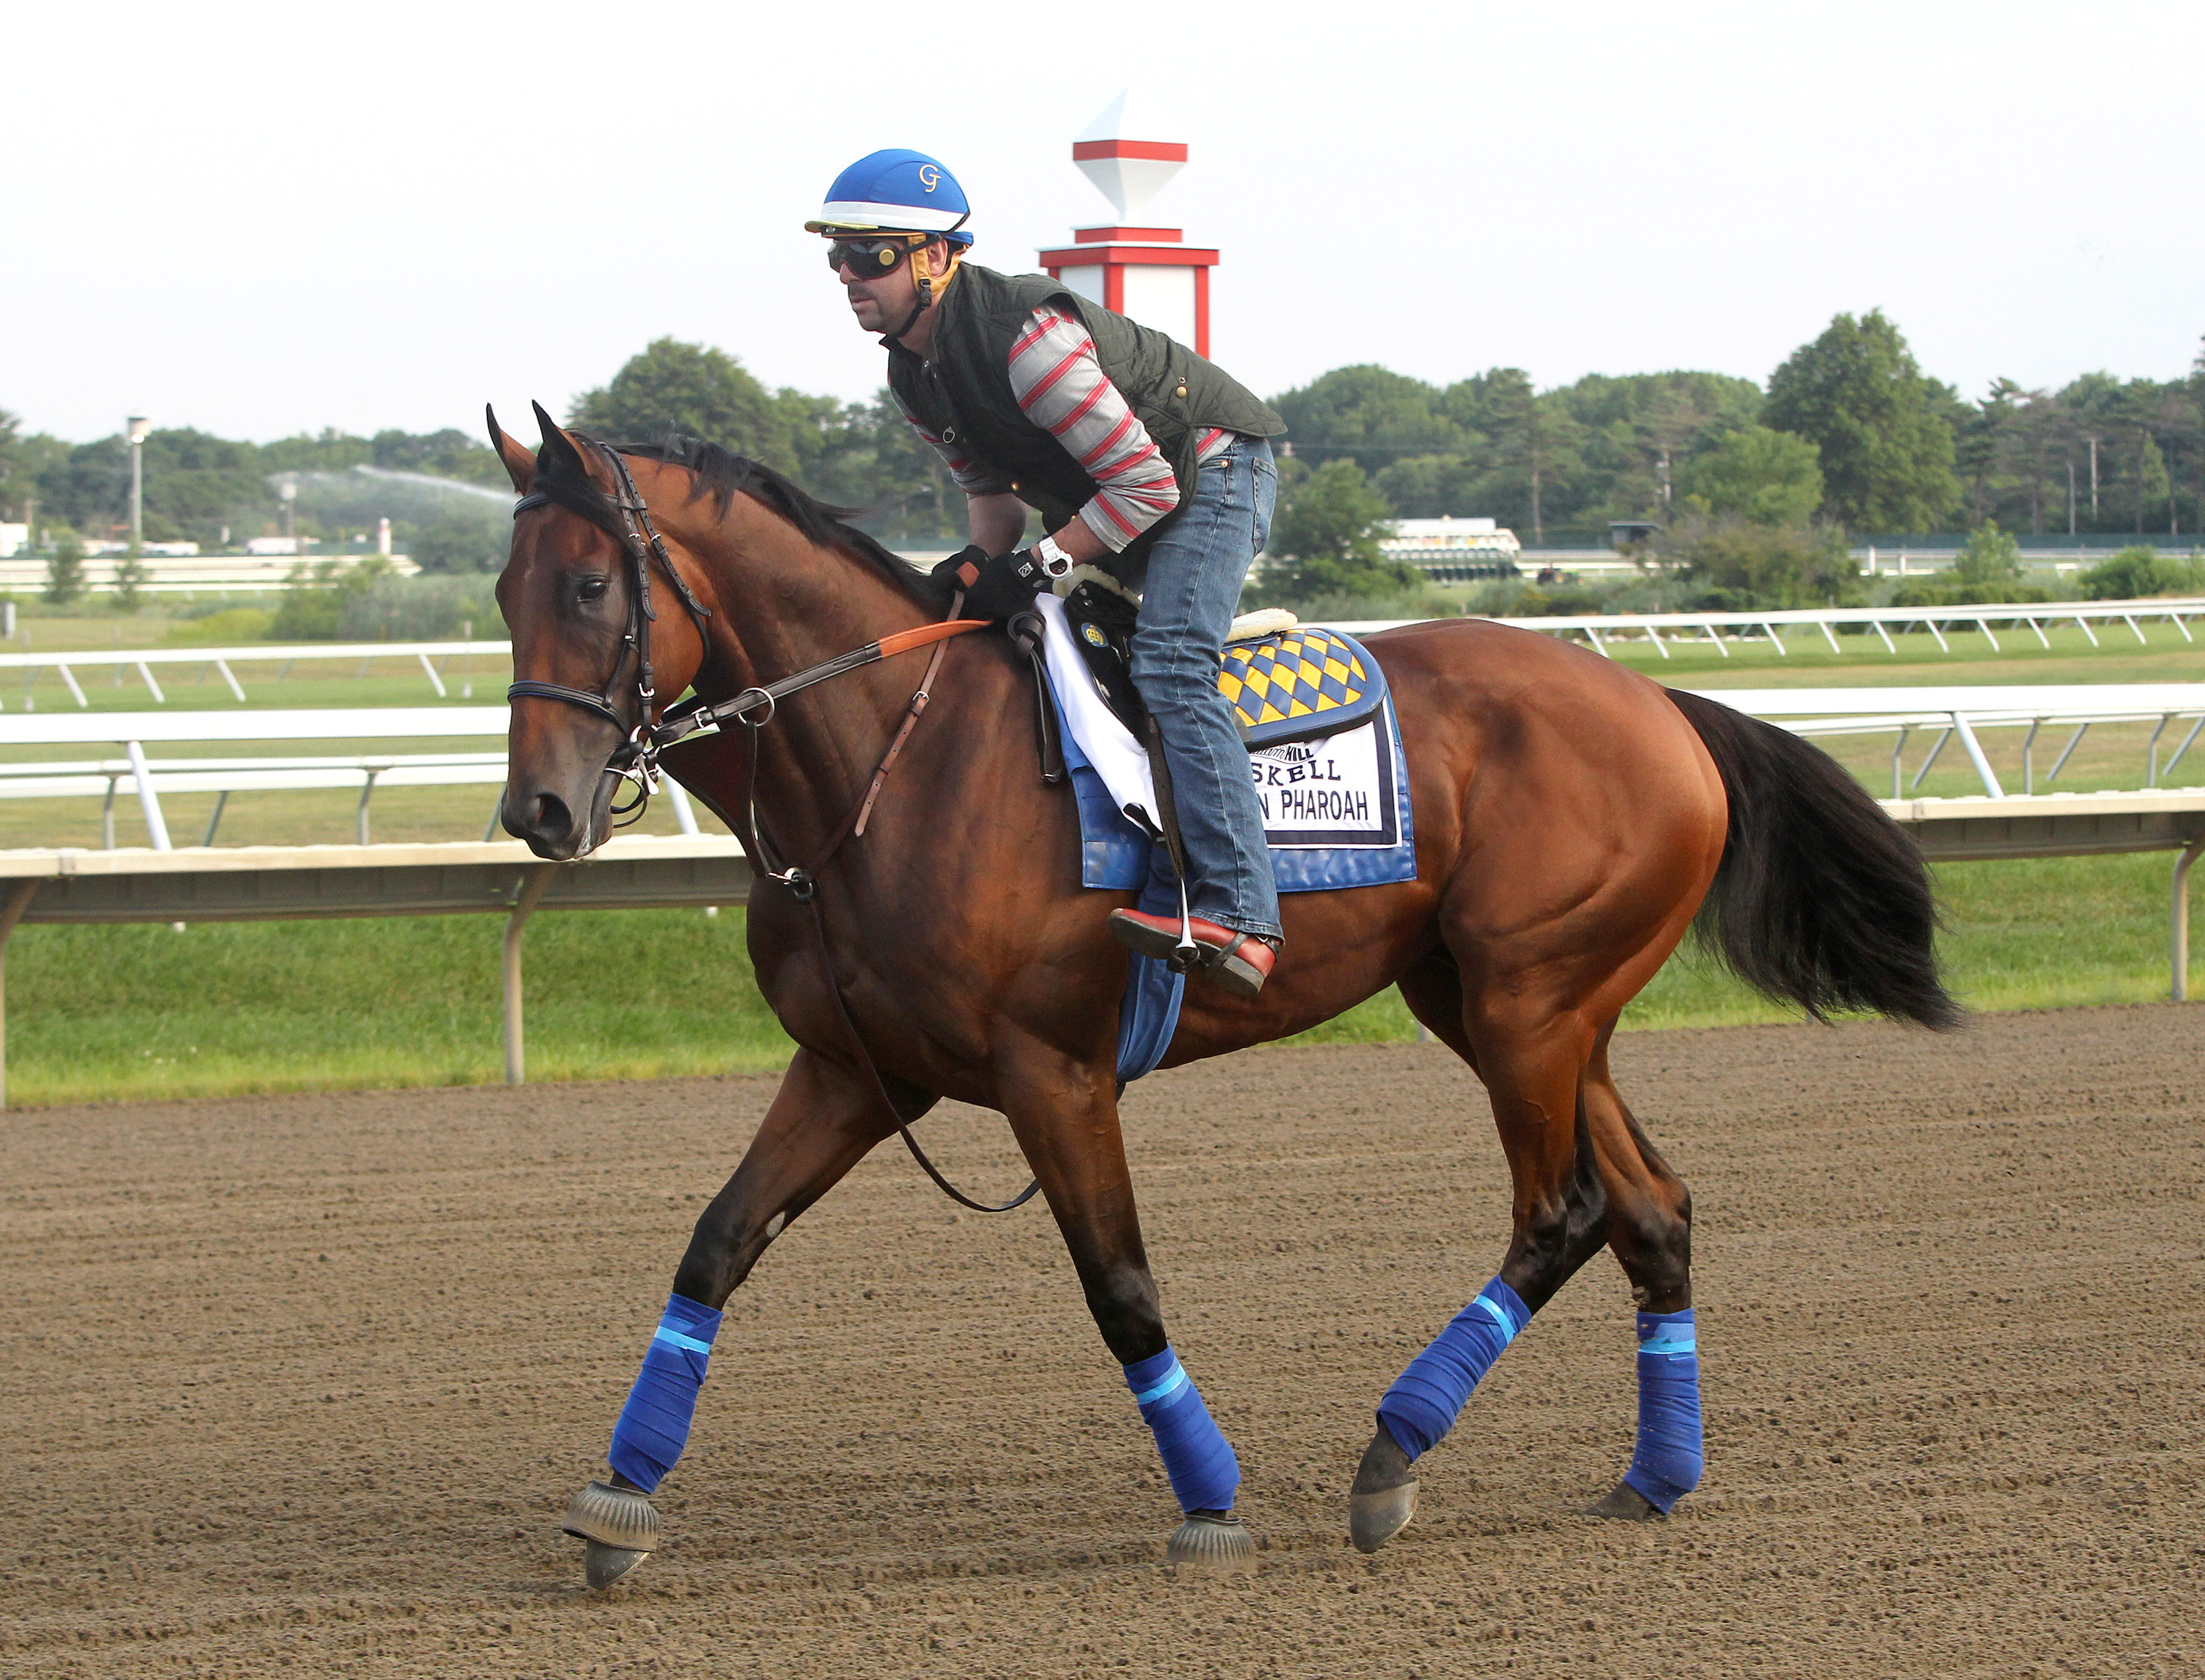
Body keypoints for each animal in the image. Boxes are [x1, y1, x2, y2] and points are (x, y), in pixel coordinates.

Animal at [487, 404, 1954, 1586]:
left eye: (588, 582)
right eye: (503, 589)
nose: (537, 811)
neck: (889, 763)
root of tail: (1657, 701)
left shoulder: (1053, 1070)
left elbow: (1121, 1287)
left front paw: (1211, 1504)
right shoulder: (858, 1067)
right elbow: (715, 1244)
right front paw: (617, 1500)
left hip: (1529, 1002)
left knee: (1565, 1212)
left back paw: (1391, 1456)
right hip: (1515, 1007)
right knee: (1653, 1208)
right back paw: (1653, 1476)